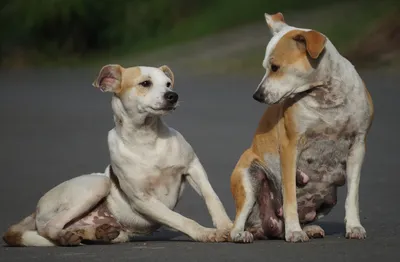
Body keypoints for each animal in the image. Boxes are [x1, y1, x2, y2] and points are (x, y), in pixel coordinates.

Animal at [3, 64, 233, 247]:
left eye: (168, 83)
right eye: (145, 83)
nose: (173, 95)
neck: (147, 138)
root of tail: (35, 210)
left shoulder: (193, 167)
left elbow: (212, 197)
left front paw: (227, 226)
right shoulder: (143, 200)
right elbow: (180, 219)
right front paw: (205, 233)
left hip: (115, 227)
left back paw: (96, 233)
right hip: (98, 184)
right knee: (49, 227)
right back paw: (66, 237)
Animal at [230, 13, 374, 244]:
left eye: (275, 67)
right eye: (266, 66)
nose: (257, 95)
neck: (325, 95)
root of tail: (267, 227)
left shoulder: (358, 147)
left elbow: (353, 196)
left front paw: (354, 227)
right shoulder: (291, 147)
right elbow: (290, 196)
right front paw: (294, 231)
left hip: (329, 196)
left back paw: (309, 228)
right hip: (249, 179)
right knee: (237, 222)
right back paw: (243, 233)